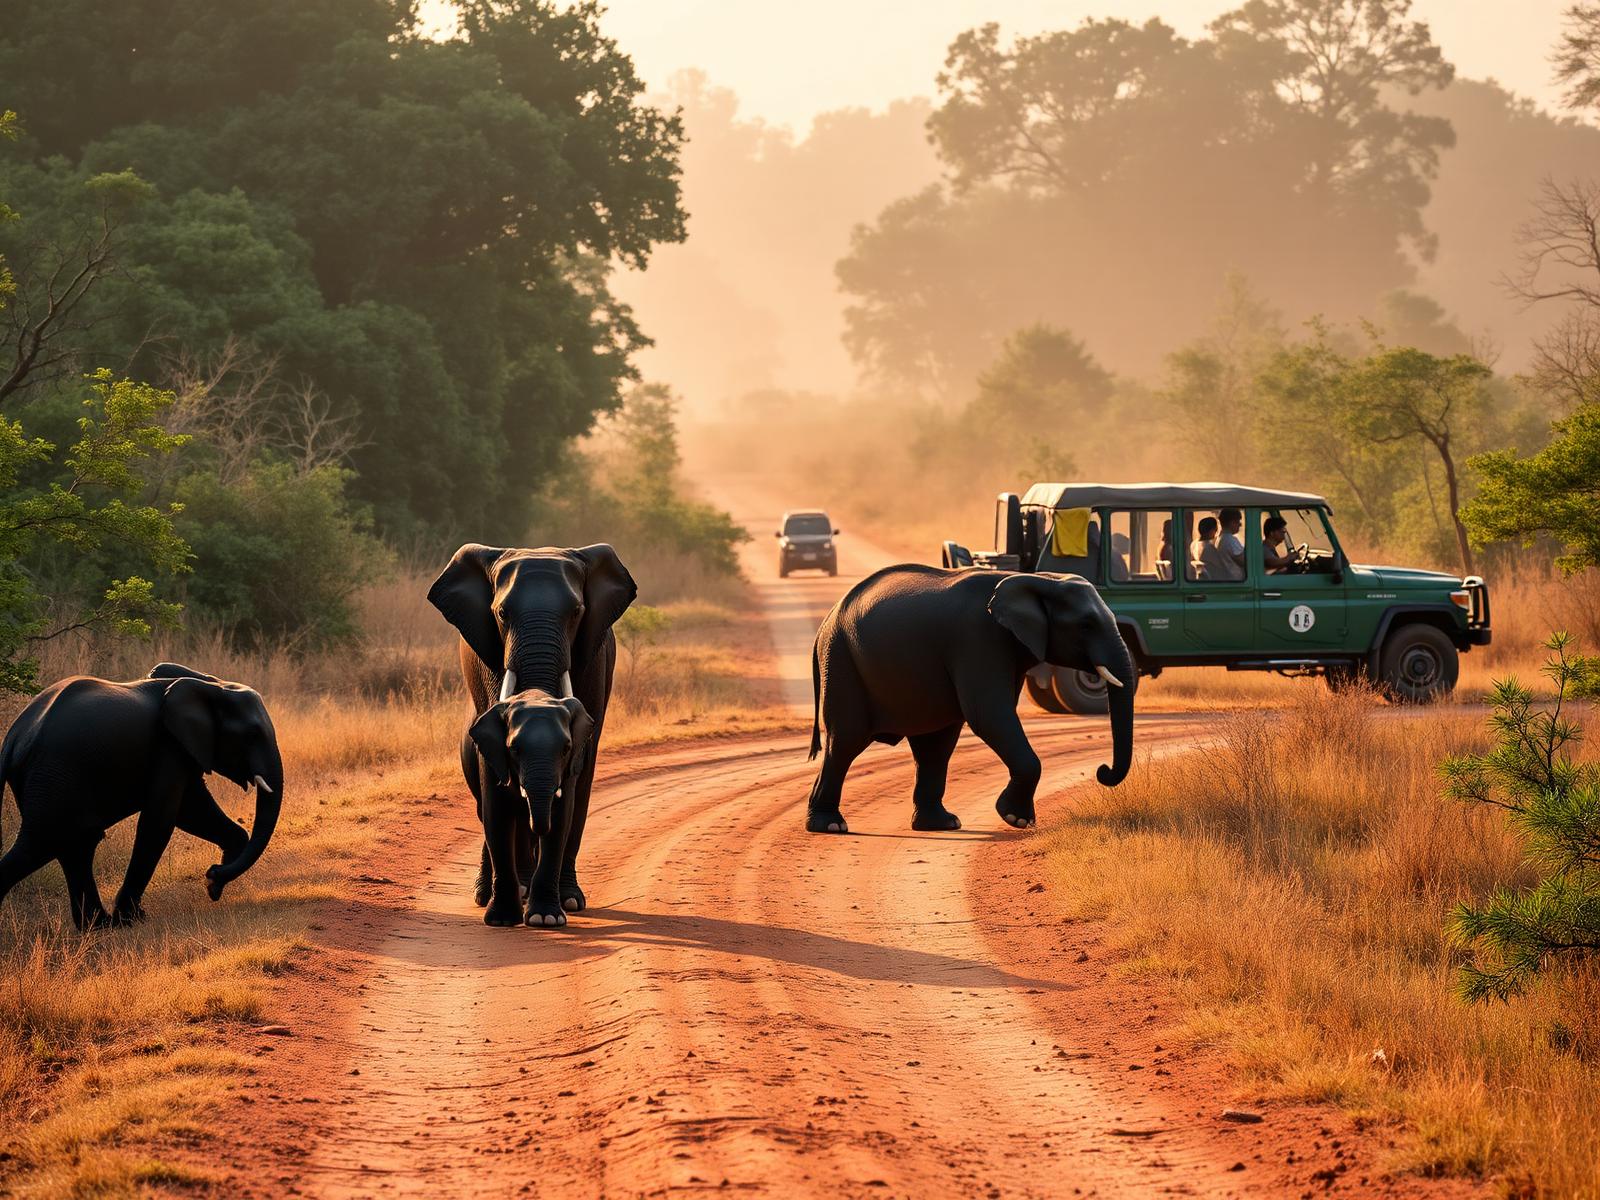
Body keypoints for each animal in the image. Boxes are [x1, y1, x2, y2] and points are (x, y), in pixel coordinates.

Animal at [0, 663, 283, 929]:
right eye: (252, 734)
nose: (212, 875)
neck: (212, 685)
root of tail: (11, 741)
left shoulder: (181, 746)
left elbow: (192, 810)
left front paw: (216, 884)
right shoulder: (168, 744)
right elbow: (162, 817)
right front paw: (132, 918)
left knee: (76, 843)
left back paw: (97, 927)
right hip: (55, 777)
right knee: (43, 843)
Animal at [428, 543, 636, 929]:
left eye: (577, 612)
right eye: (501, 613)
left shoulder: (594, 662)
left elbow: (570, 786)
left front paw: (546, 917)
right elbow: (494, 789)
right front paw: (503, 917)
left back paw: (567, 898)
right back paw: (491, 893)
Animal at [806, 565, 1135, 834]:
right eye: (1086, 625)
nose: (1102, 770)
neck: (1038, 579)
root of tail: (824, 625)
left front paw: (1015, 818)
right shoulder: (978, 638)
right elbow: (989, 715)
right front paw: (1017, 820)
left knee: (935, 746)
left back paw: (941, 824)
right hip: (841, 661)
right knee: (845, 741)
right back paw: (830, 826)